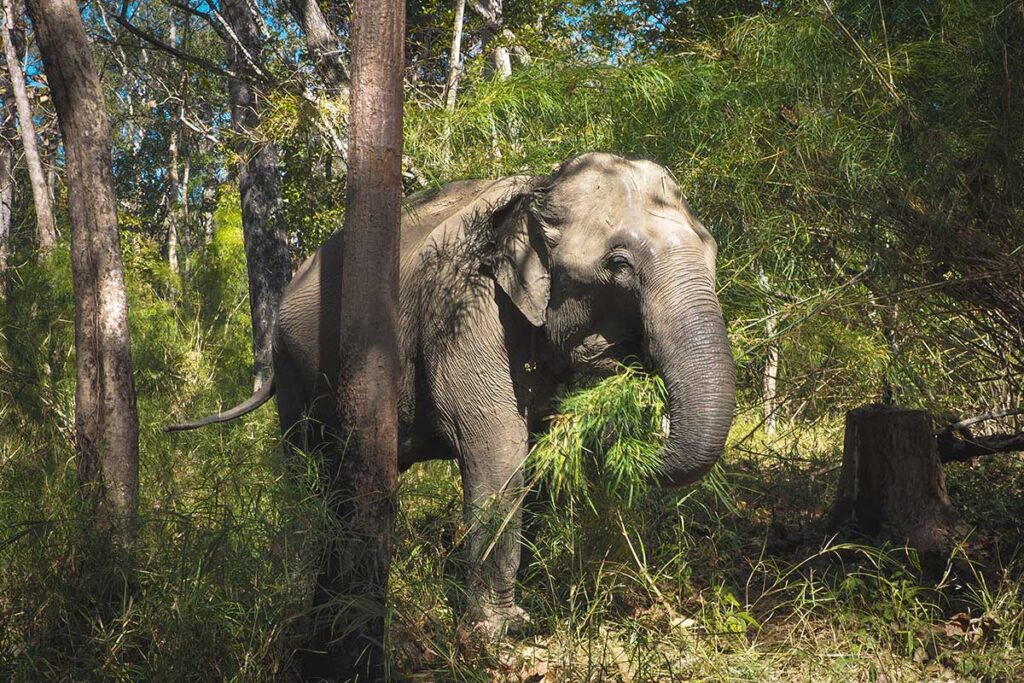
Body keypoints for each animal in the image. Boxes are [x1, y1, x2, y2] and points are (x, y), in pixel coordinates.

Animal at [165, 152, 737, 638]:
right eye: (619, 263)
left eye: (712, 250)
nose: (648, 409)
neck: (541, 187)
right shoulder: (468, 309)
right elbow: (499, 452)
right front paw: (500, 630)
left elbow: (543, 453)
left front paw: (536, 603)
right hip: (293, 368)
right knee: (307, 464)